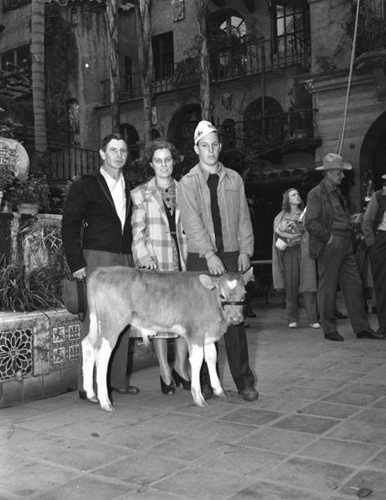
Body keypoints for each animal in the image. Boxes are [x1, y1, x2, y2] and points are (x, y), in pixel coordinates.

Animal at [82, 266, 253, 410]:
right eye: (222, 295)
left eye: (244, 294)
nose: (236, 318)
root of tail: (102, 270)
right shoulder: (196, 333)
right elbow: (197, 361)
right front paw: (198, 397)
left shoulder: (209, 333)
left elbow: (212, 357)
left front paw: (219, 390)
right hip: (112, 323)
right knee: (102, 355)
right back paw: (105, 402)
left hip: (96, 323)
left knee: (88, 345)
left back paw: (91, 394)